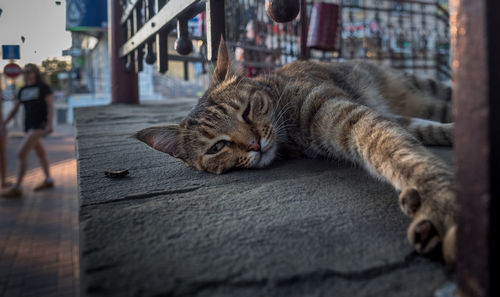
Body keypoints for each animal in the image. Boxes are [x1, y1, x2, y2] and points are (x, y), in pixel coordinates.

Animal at [136, 39, 458, 264]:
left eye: (247, 111)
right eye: (217, 147)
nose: (254, 143)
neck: (289, 139)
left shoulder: (347, 113)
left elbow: (396, 149)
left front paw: (441, 200)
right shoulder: (385, 119)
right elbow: (413, 137)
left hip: (431, 93)